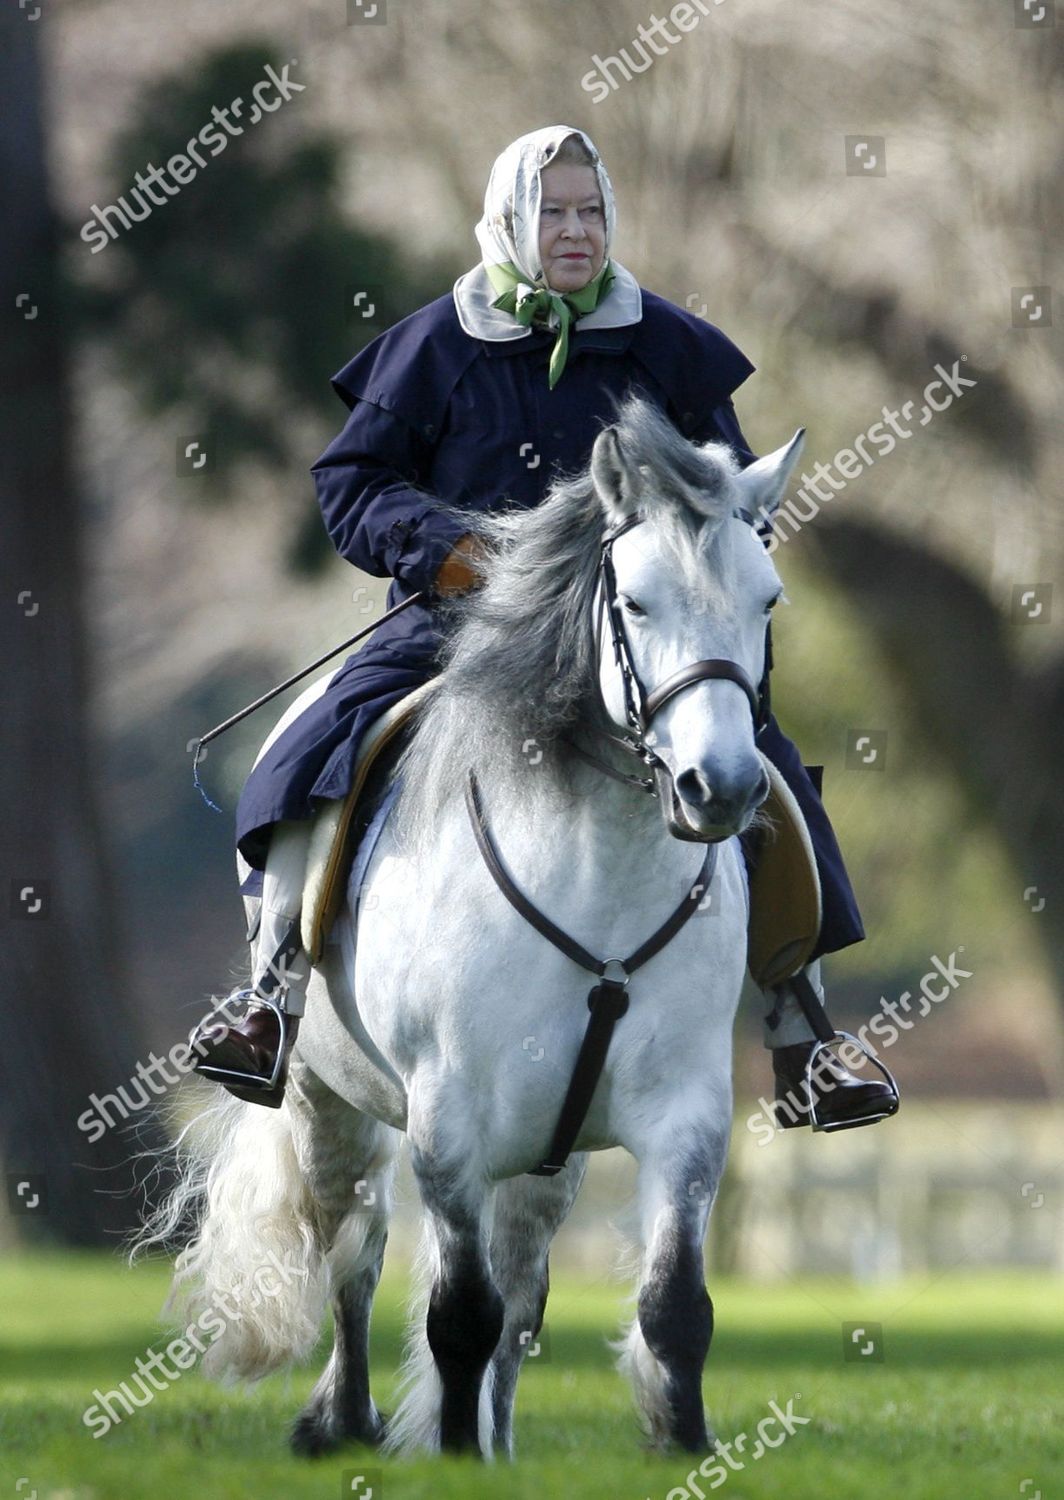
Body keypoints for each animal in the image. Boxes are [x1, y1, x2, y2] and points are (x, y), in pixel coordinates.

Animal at [143, 396, 804, 1452]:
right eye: (637, 603)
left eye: (767, 600)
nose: (724, 788)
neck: (596, 874)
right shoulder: (448, 1120)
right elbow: (456, 1313)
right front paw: (450, 1452)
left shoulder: (685, 1118)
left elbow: (671, 1308)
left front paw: (682, 1445)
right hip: (327, 1107)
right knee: (355, 1251)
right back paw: (342, 1419)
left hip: (547, 1154)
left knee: (522, 1287)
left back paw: (490, 1434)